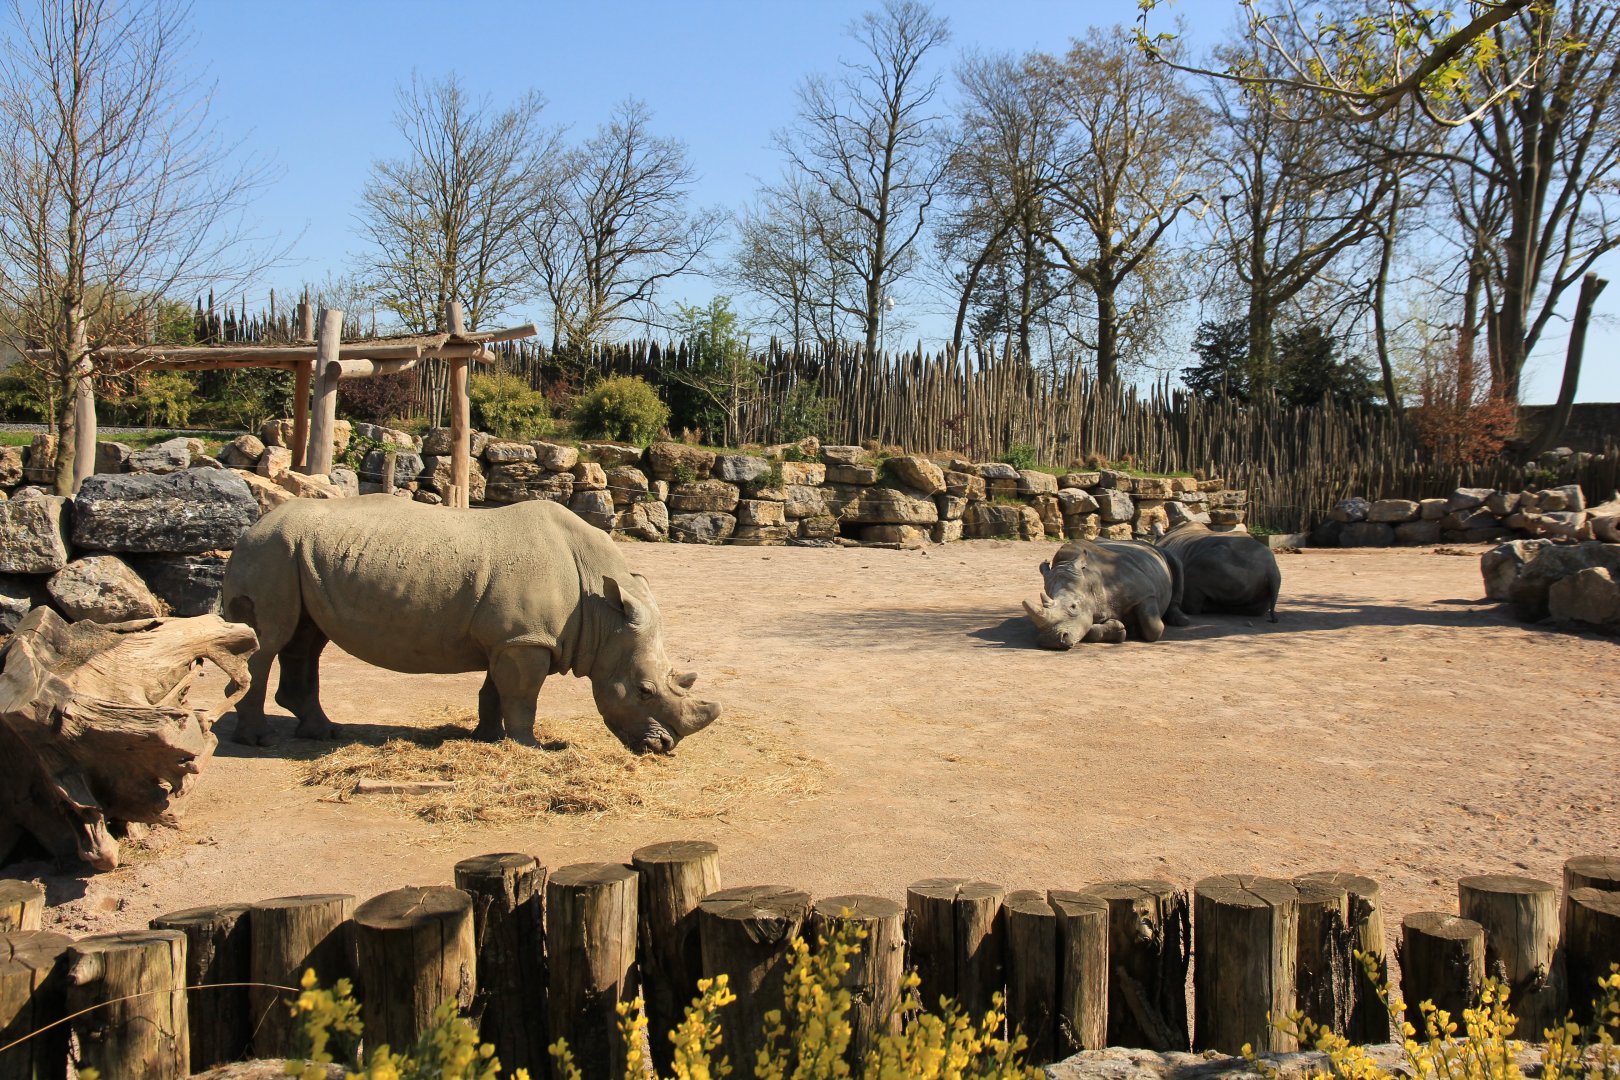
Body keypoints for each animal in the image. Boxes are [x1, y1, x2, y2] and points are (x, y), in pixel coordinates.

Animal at [220, 495, 720, 754]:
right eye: (644, 691)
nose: (665, 748)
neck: (602, 610)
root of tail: (251, 524)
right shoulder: (525, 640)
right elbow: (522, 697)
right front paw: (529, 748)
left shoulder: (508, 639)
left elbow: (494, 691)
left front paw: (486, 738)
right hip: (272, 550)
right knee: (269, 639)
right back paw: (258, 740)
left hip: (294, 555)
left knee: (305, 639)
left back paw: (323, 732)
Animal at [1022, 539, 1187, 649]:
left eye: (1074, 607)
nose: (1051, 641)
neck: (1090, 580)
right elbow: (1087, 626)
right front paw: (1119, 628)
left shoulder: (1146, 594)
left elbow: (1153, 628)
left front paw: (1135, 629)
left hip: (1163, 552)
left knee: (1176, 561)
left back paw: (1181, 621)